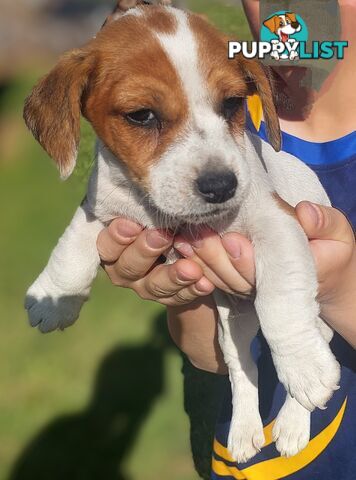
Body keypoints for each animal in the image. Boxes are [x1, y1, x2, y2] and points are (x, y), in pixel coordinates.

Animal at [23, 0, 340, 464]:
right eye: (141, 116)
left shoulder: (277, 221)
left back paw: (293, 422)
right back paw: (244, 432)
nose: (222, 186)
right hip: (231, 326)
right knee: (242, 370)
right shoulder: (103, 208)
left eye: (232, 104)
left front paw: (305, 367)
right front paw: (55, 296)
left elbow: (281, 298)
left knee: (316, 337)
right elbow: (74, 240)